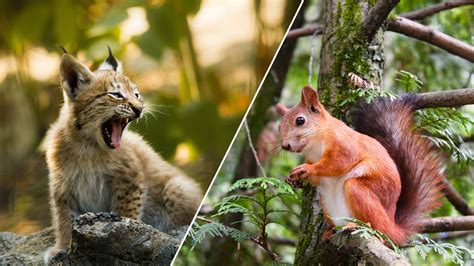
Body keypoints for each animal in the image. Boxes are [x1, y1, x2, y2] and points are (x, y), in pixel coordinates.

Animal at [276, 86, 446, 244]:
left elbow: (337, 163)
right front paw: (294, 179)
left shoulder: (344, 145)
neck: (315, 145)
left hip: (360, 192)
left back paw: (357, 226)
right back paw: (330, 231)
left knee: (376, 227)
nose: (285, 146)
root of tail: (392, 227)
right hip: (327, 205)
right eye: (279, 126)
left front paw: (307, 169)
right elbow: (320, 178)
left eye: (300, 120)